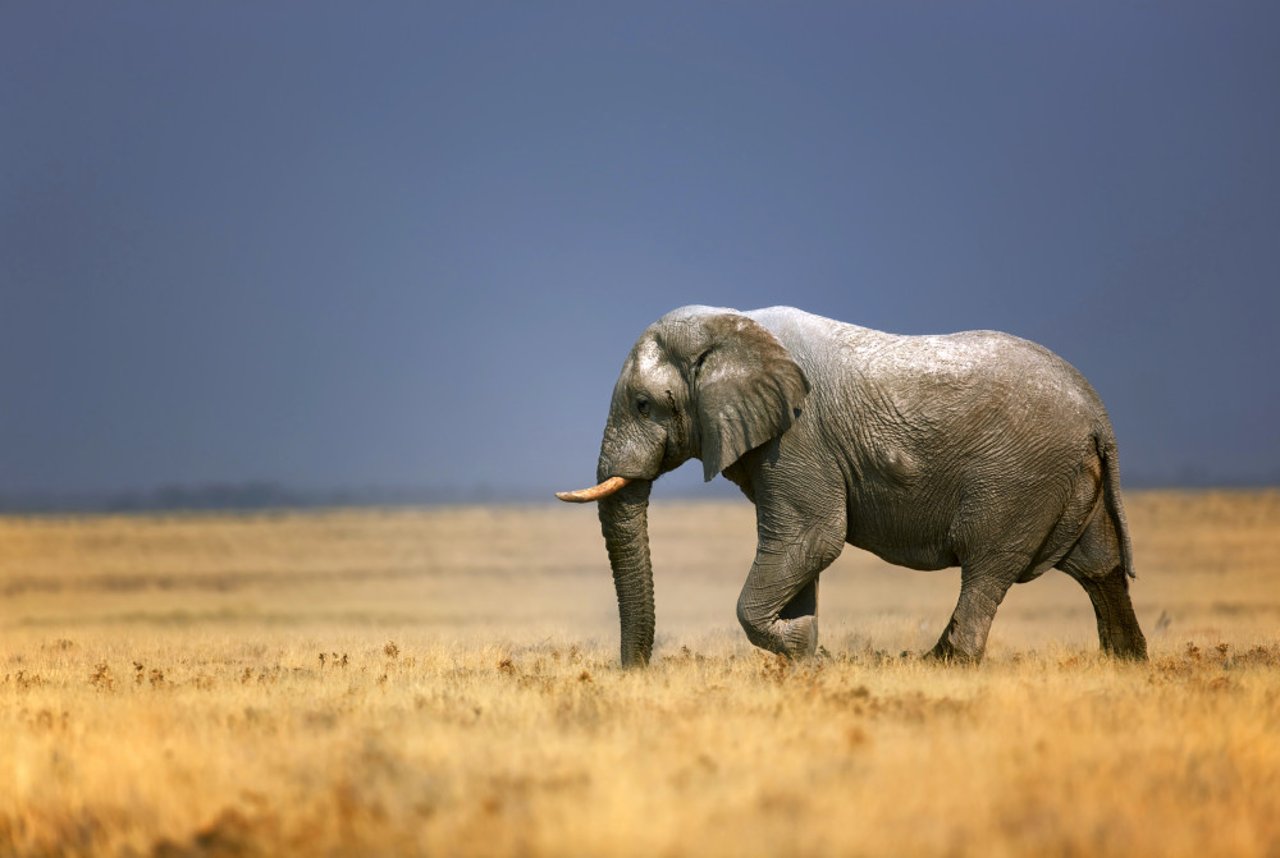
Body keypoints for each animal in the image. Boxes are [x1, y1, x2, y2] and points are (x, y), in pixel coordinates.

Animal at [560, 306, 1152, 671]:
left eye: (643, 405)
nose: (635, 673)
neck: (730, 326)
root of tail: (1098, 413)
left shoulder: (800, 437)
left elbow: (815, 538)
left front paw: (805, 651)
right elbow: (801, 551)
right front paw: (805, 656)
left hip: (1018, 478)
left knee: (987, 566)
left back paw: (944, 666)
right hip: (1065, 477)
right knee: (1098, 567)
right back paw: (1126, 664)